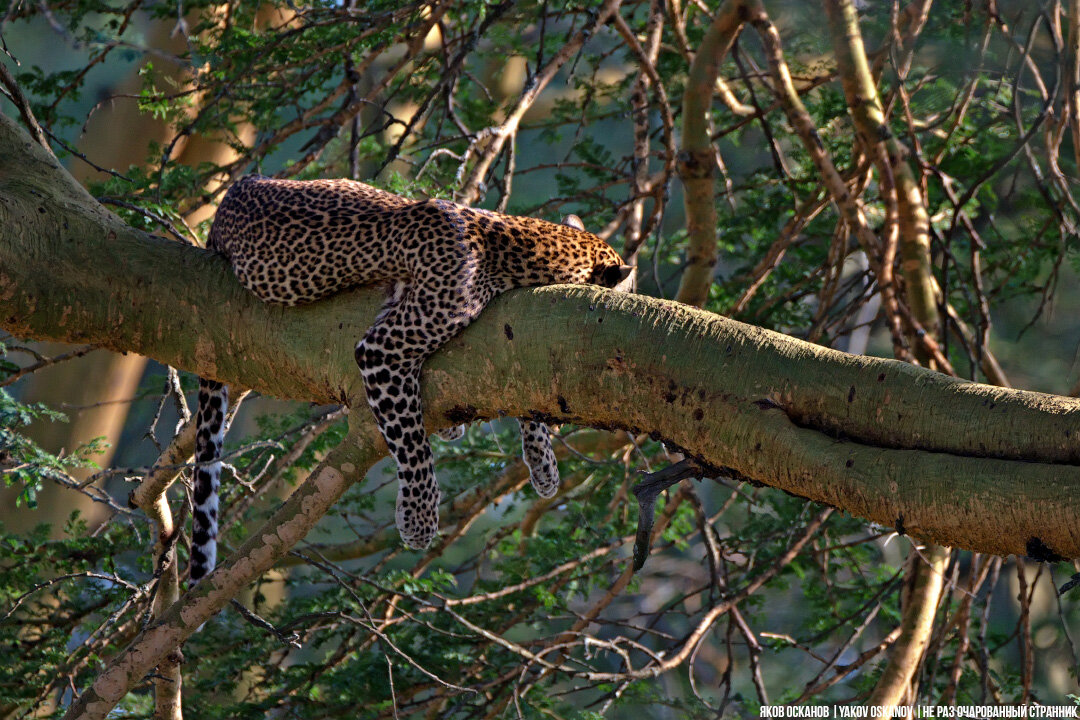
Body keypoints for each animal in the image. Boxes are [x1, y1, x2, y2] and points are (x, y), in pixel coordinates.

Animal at [187, 175, 630, 587]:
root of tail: (229, 199)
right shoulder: (381, 349)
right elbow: (411, 443)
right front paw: (419, 519)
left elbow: (523, 392)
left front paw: (542, 463)